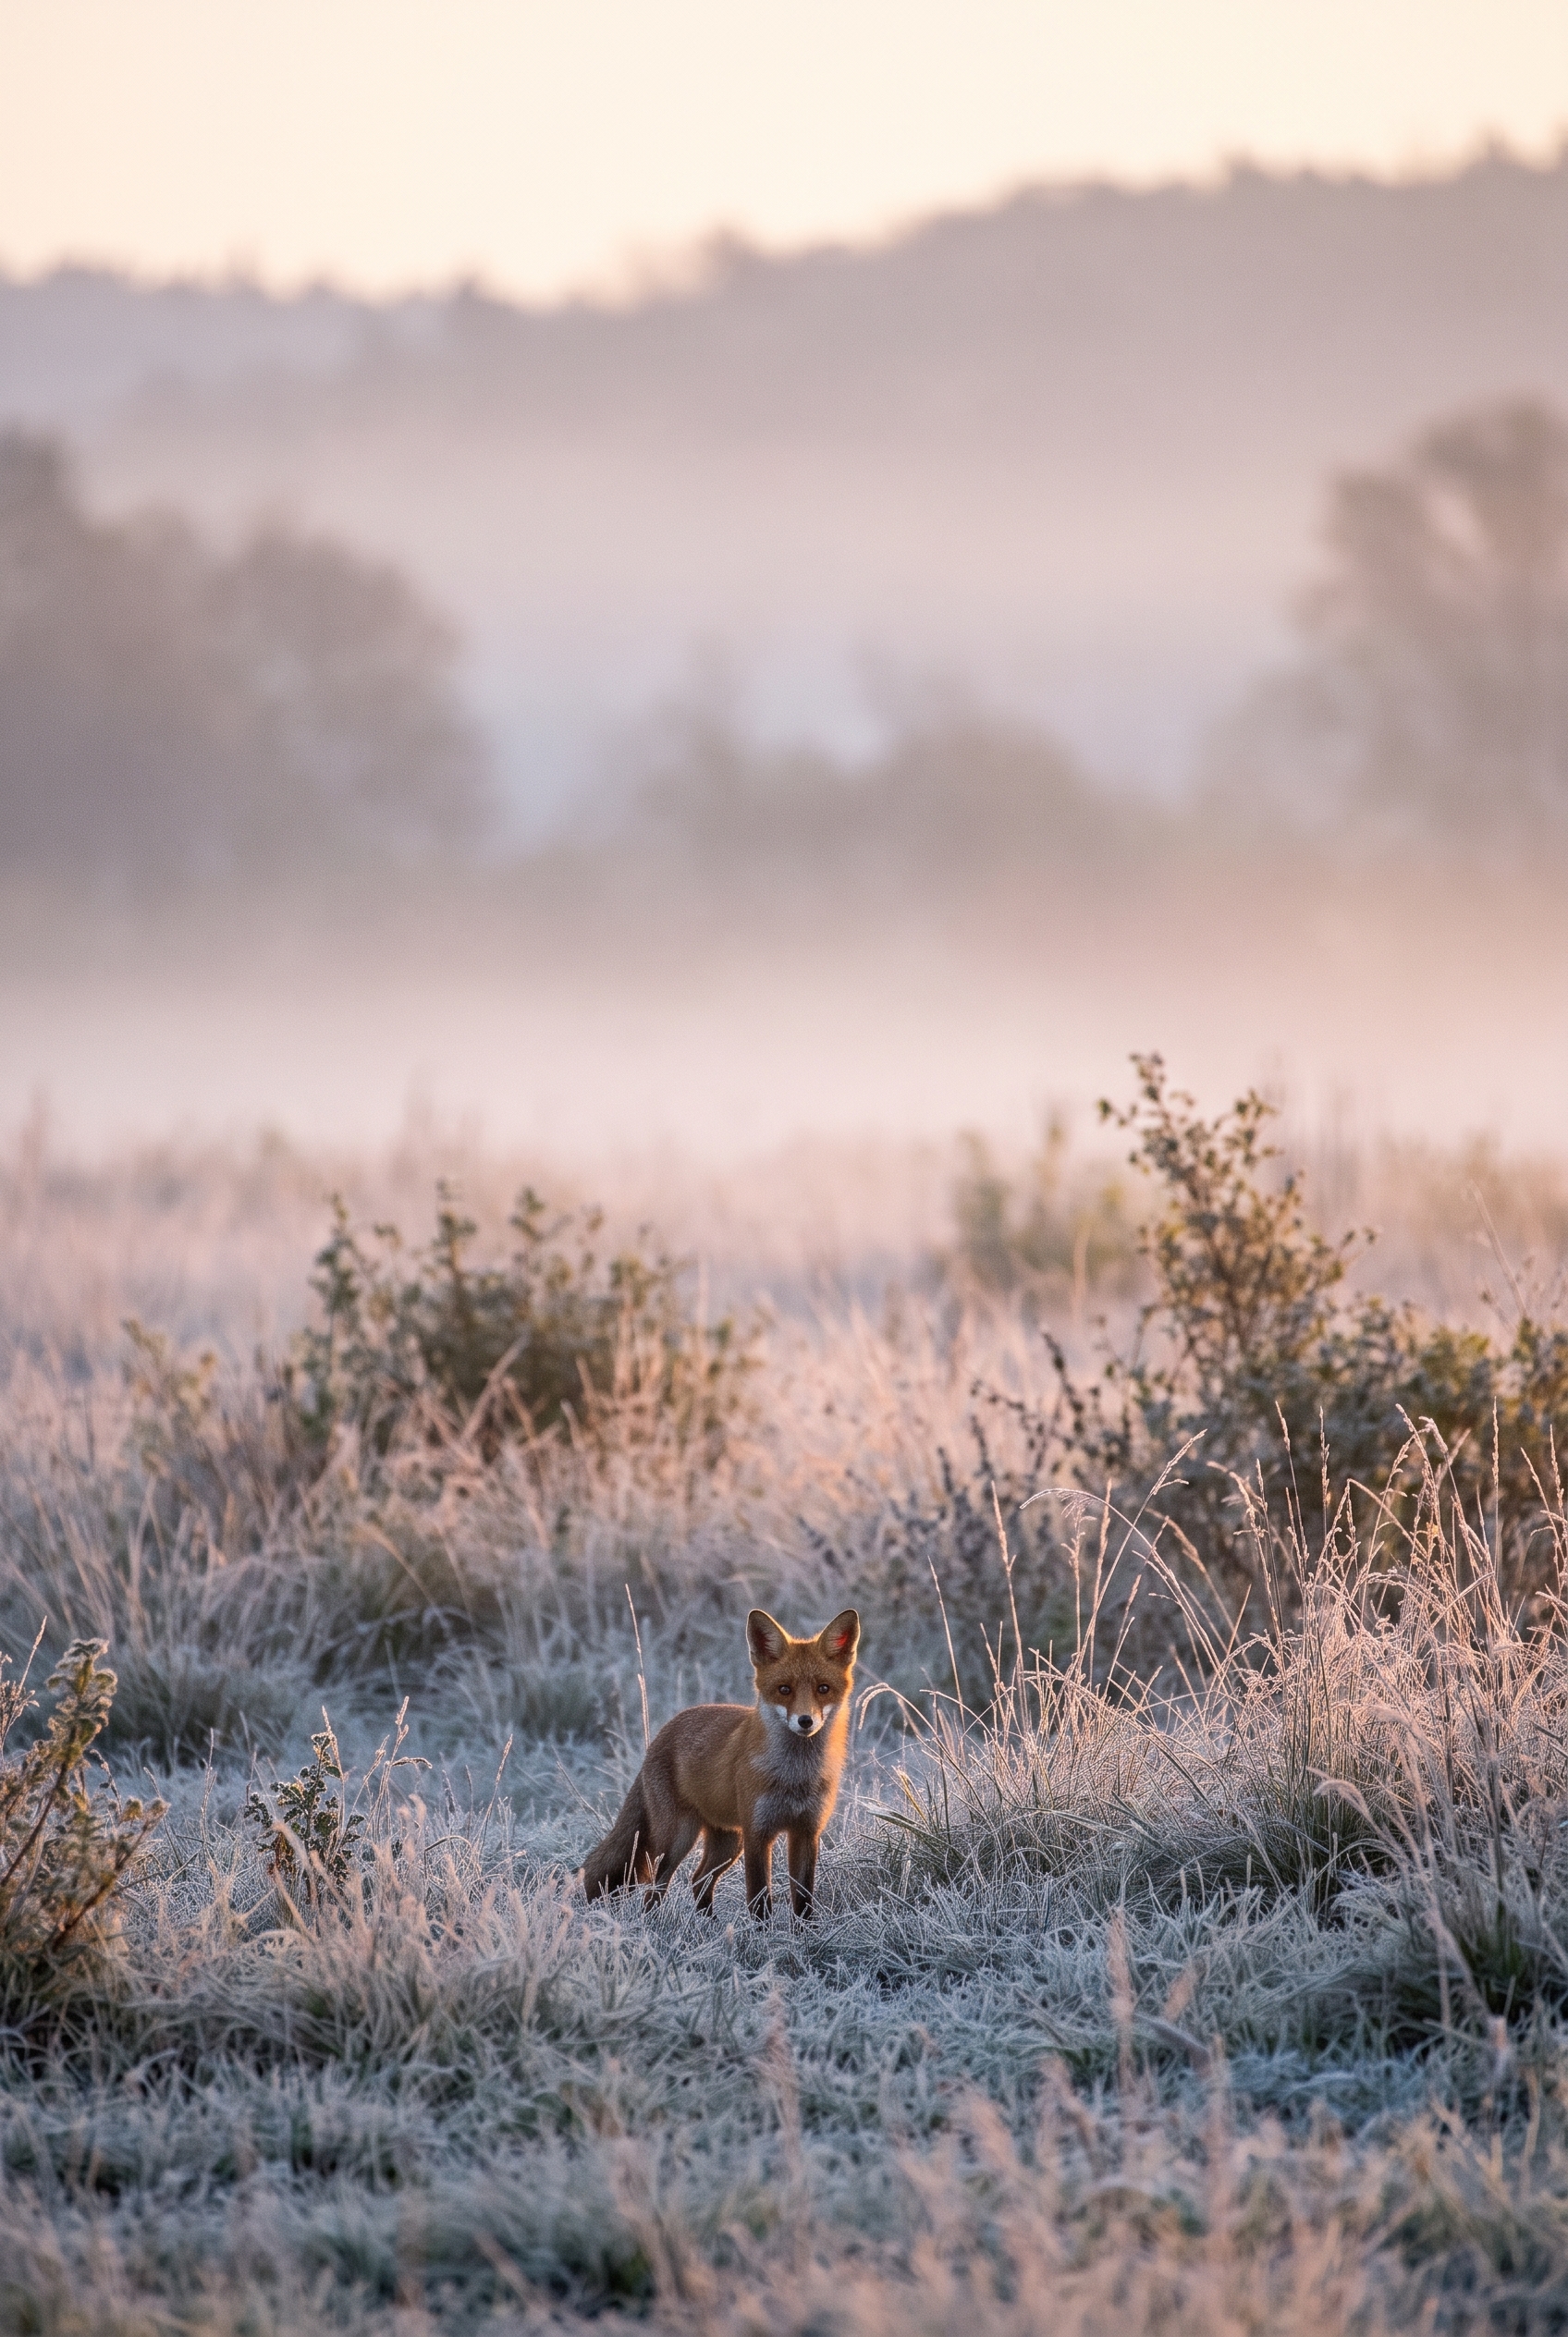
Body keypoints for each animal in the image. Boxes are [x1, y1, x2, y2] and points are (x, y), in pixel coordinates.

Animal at [582, 1606, 861, 1919]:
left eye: (823, 1688)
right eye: (784, 1689)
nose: (805, 1721)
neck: (795, 1777)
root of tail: (663, 1733)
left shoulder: (807, 1832)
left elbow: (803, 1901)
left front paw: (804, 1931)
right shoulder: (757, 1833)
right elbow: (759, 1899)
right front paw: (761, 1932)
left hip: (727, 1842)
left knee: (699, 1879)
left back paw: (709, 1924)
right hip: (679, 1839)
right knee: (656, 1887)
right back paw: (653, 1923)